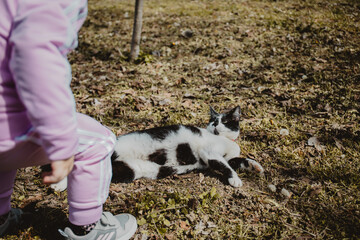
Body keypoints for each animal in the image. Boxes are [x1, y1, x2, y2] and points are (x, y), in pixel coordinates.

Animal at [111, 105, 262, 188]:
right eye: (213, 121)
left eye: (224, 121)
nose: (215, 125)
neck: (226, 140)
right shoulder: (209, 153)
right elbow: (226, 166)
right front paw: (235, 179)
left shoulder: (227, 157)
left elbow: (236, 161)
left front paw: (255, 166)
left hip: (130, 169)